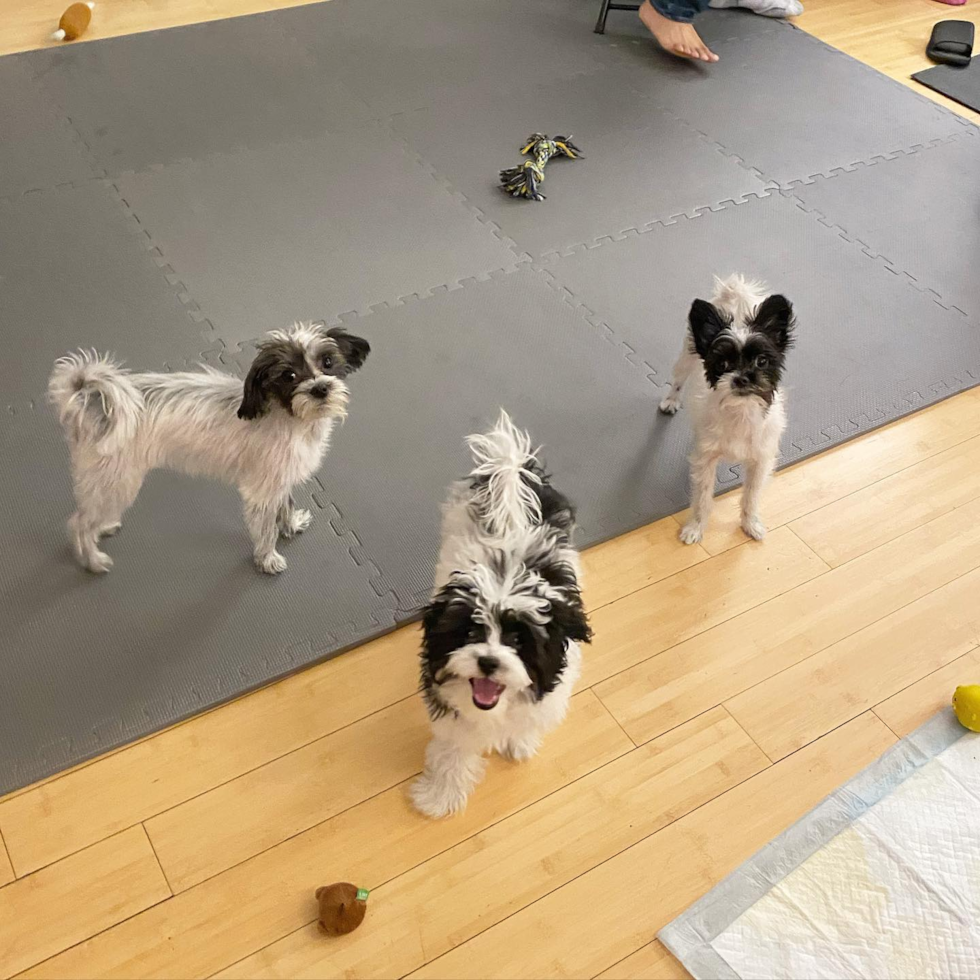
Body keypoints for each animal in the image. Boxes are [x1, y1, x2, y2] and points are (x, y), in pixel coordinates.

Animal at [46, 326, 370, 576]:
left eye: (328, 362)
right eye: (288, 376)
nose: (320, 388)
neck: (289, 417)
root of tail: (90, 400)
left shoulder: (281, 480)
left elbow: (285, 505)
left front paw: (290, 525)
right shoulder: (261, 491)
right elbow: (266, 529)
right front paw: (267, 559)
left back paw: (104, 527)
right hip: (118, 482)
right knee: (78, 524)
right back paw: (92, 560)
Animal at [412, 412, 588, 820]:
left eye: (518, 639)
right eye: (470, 632)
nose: (489, 662)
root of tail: (511, 471)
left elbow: (525, 722)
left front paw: (519, 742)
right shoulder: (452, 713)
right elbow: (454, 753)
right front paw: (439, 797)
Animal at [660, 276, 796, 548]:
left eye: (762, 361)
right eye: (722, 365)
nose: (742, 378)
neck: (740, 412)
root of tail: (735, 294)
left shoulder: (760, 461)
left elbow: (750, 496)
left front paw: (750, 524)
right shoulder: (705, 460)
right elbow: (702, 499)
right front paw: (694, 529)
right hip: (686, 356)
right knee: (678, 380)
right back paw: (670, 401)